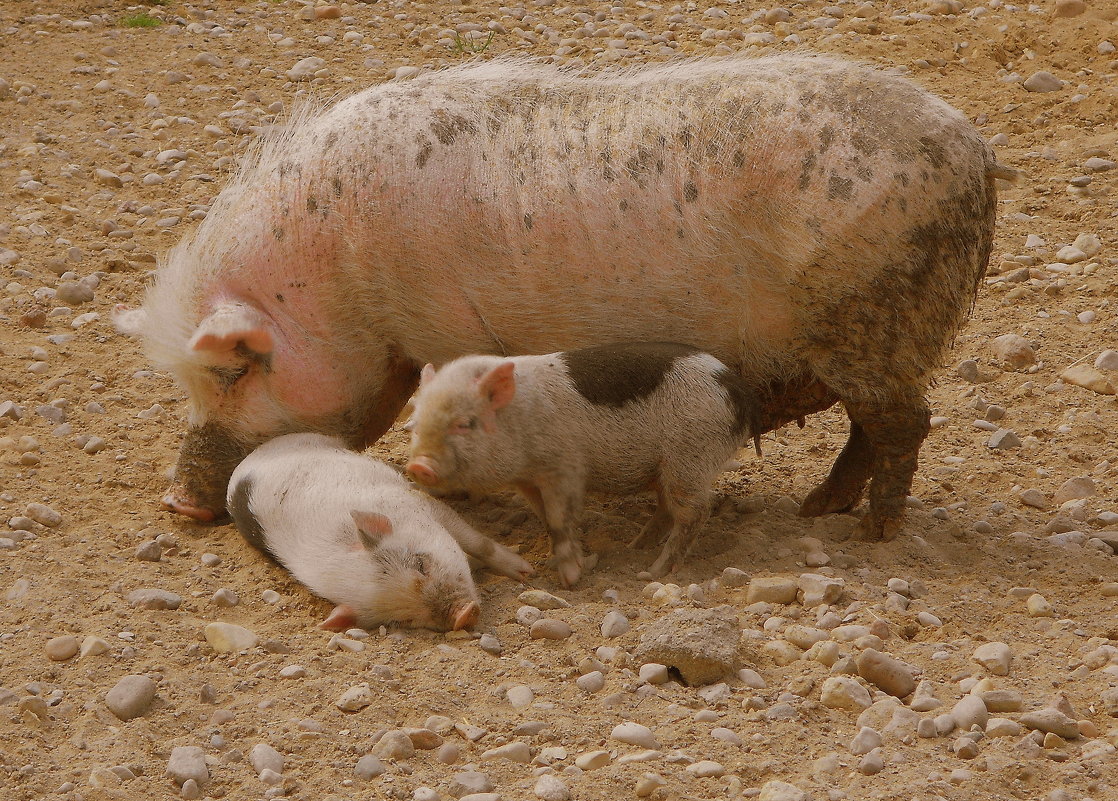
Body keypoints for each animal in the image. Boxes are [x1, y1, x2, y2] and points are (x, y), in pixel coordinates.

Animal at [113, 53, 1015, 541]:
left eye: (234, 370)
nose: (176, 501)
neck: (340, 280)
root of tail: (974, 148)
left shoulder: (443, 328)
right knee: (873, 426)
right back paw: (815, 507)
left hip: (874, 318)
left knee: (906, 423)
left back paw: (869, 530)